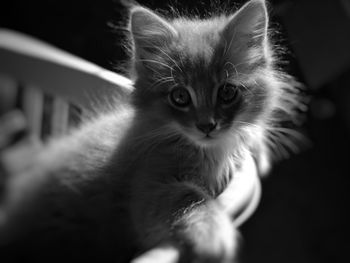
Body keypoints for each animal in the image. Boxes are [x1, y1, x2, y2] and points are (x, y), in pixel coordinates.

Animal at [0, 0, 302, 263]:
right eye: (180, 97)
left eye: (227, 92)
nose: (206, 126)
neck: (210, 153)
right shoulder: (148, 192)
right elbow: (191, 198)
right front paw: (213, 237)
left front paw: (258, 149)